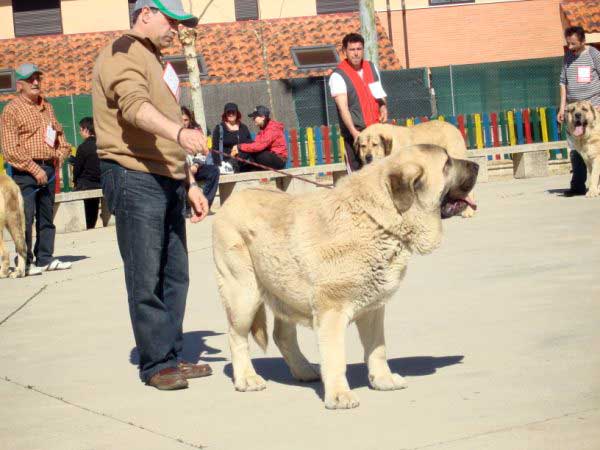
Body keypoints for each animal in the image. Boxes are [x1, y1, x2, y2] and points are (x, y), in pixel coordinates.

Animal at [213, 144, 480, 408]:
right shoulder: (331, 311)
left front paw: (383, 380)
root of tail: (229, 201)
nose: (476, 165)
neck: (378, 220)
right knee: (236, 337)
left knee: (282, 336)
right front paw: (339, 395)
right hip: (243, 294)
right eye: (446, 164)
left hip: (284, 291)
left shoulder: (374, 310)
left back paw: (303, 370)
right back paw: (247, 378)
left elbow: (377, 348)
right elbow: (335, 356)